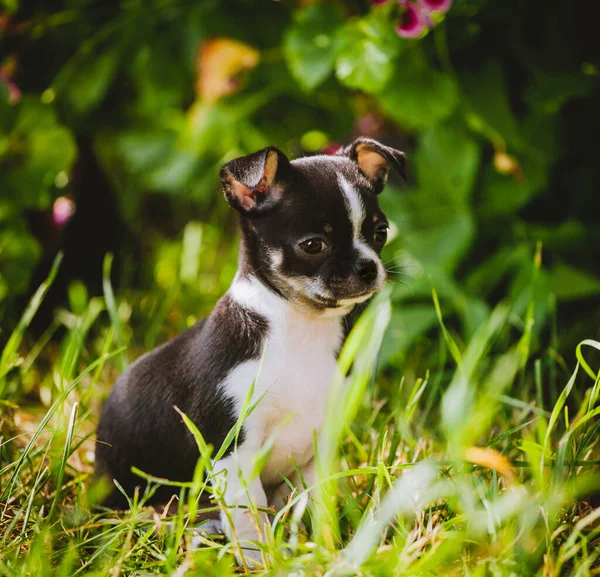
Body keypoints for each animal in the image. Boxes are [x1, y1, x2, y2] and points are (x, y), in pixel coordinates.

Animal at [96, 138, 406, 564]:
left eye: (380, 232)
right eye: (314, 245)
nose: (367, 267)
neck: (299, 329)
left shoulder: (319, 448)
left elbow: (318, 505)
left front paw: (327, 552)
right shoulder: (233, 453)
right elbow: (250, 518)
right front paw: (262, 562)